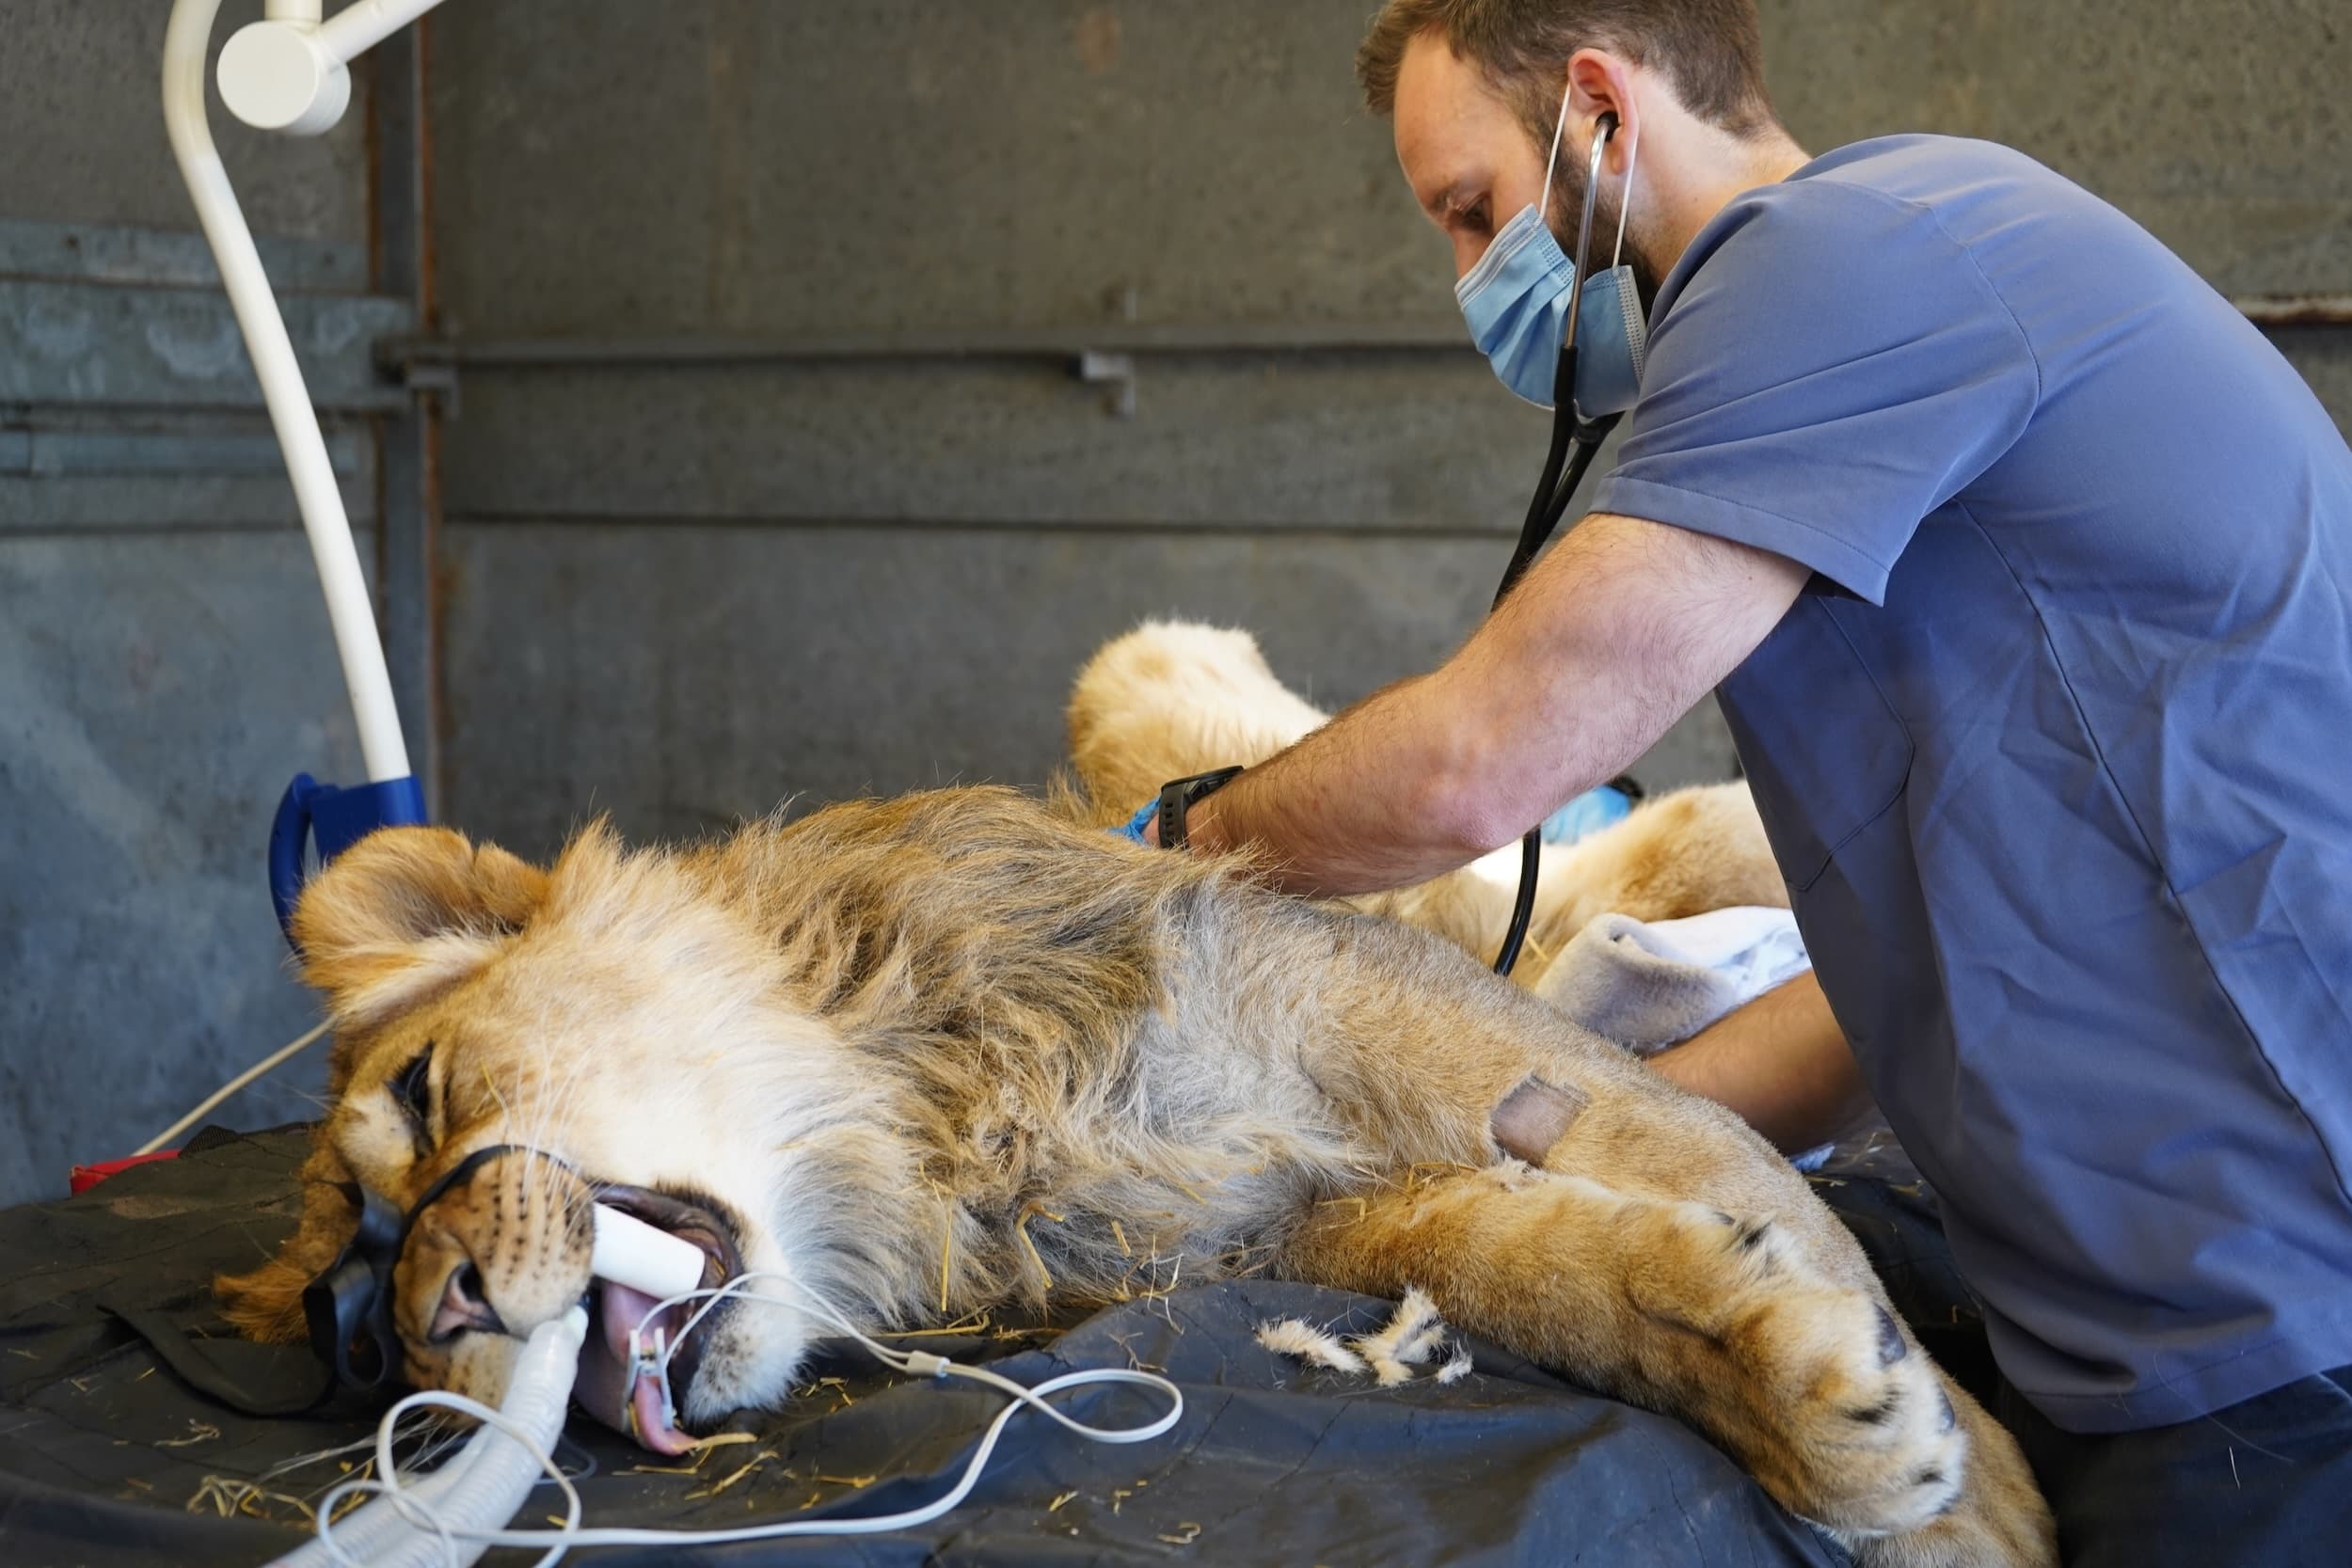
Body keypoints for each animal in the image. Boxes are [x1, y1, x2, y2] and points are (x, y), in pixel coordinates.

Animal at [214, 636, 2056, 1567]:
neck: (942, 1123)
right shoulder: (1293, 1223)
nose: (439, 1316)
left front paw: (1976, 1506)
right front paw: (1808, 1398)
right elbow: (1552, 1277)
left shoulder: (1430, 1032)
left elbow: (1755, 1184)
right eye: (357, 1345)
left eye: (429, 1092)